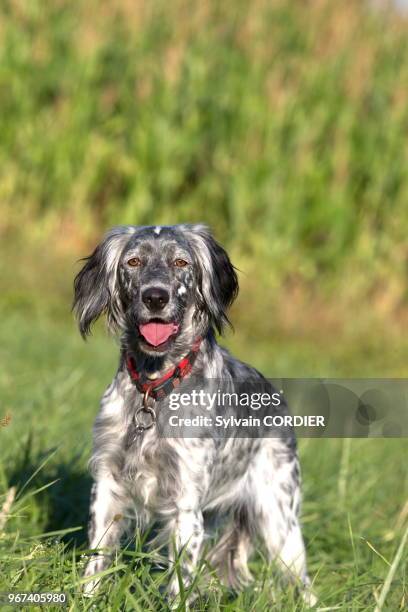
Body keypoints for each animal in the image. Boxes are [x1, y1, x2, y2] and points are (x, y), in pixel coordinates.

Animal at [73, 222, 316, 604]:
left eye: (180, 262)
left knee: (303, 583)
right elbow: (96, 562)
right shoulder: (108, 486)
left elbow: (180, 579)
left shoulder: (186, 504)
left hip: (279, 520)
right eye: (133, 261)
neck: (155, 388)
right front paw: (86, 597)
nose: (155, 297)